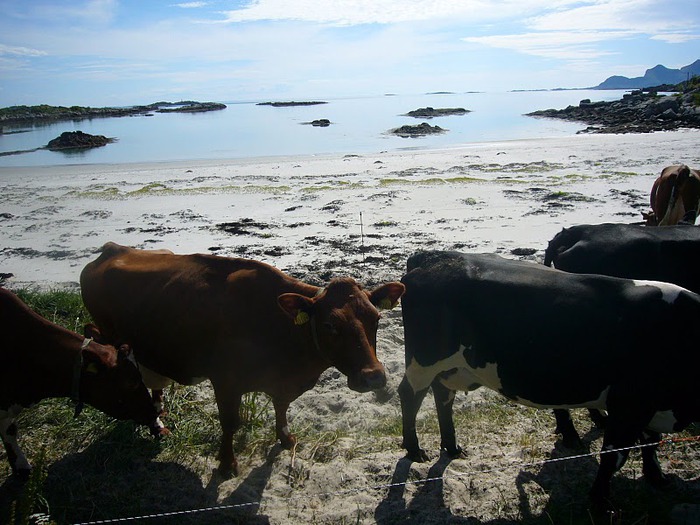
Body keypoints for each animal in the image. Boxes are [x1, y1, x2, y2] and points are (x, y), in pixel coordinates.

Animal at [80, 242, 404, 474]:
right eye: (329, 325)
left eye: (376, 318)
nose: (374, 376)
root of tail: (112, 249)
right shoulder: (225, 382)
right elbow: (230, 423)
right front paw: (226, 464)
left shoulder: (282, 383)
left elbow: (281, 408)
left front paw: (285, 439)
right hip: (112, 339)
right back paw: (155, 424)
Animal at [400, 252, 700, 506]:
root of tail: (436, 259)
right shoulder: (630, 402)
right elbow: (614, 455)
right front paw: (600, 502)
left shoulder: (648, 403)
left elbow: (651, 442)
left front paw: (657, 477)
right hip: (424, 362)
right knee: (410, 396)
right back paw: (415, 450)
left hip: (450, 368)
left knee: (442, 396)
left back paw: (451, 447)